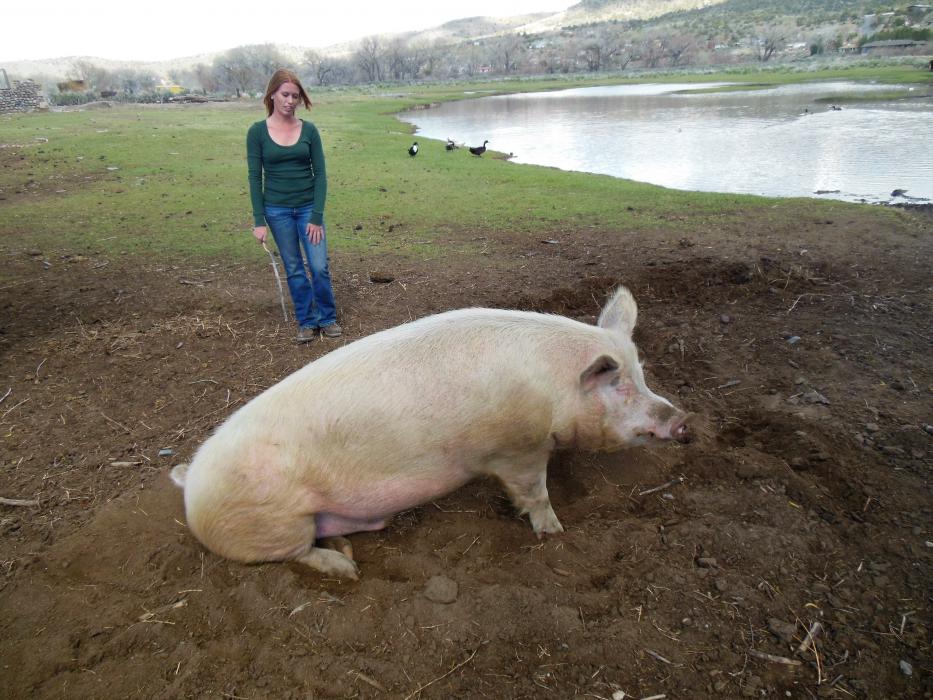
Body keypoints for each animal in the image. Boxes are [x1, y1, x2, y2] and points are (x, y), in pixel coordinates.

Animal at [171, 286, 691, 579]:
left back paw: (347, 547)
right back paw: (346, 569)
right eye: (620, 385)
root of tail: (190, 484)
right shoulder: (517, 450)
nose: (682, 419)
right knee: (295, 554)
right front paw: (555, 532)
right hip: (274, 525)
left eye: (642, 372)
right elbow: (535, 493)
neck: (552, 390)